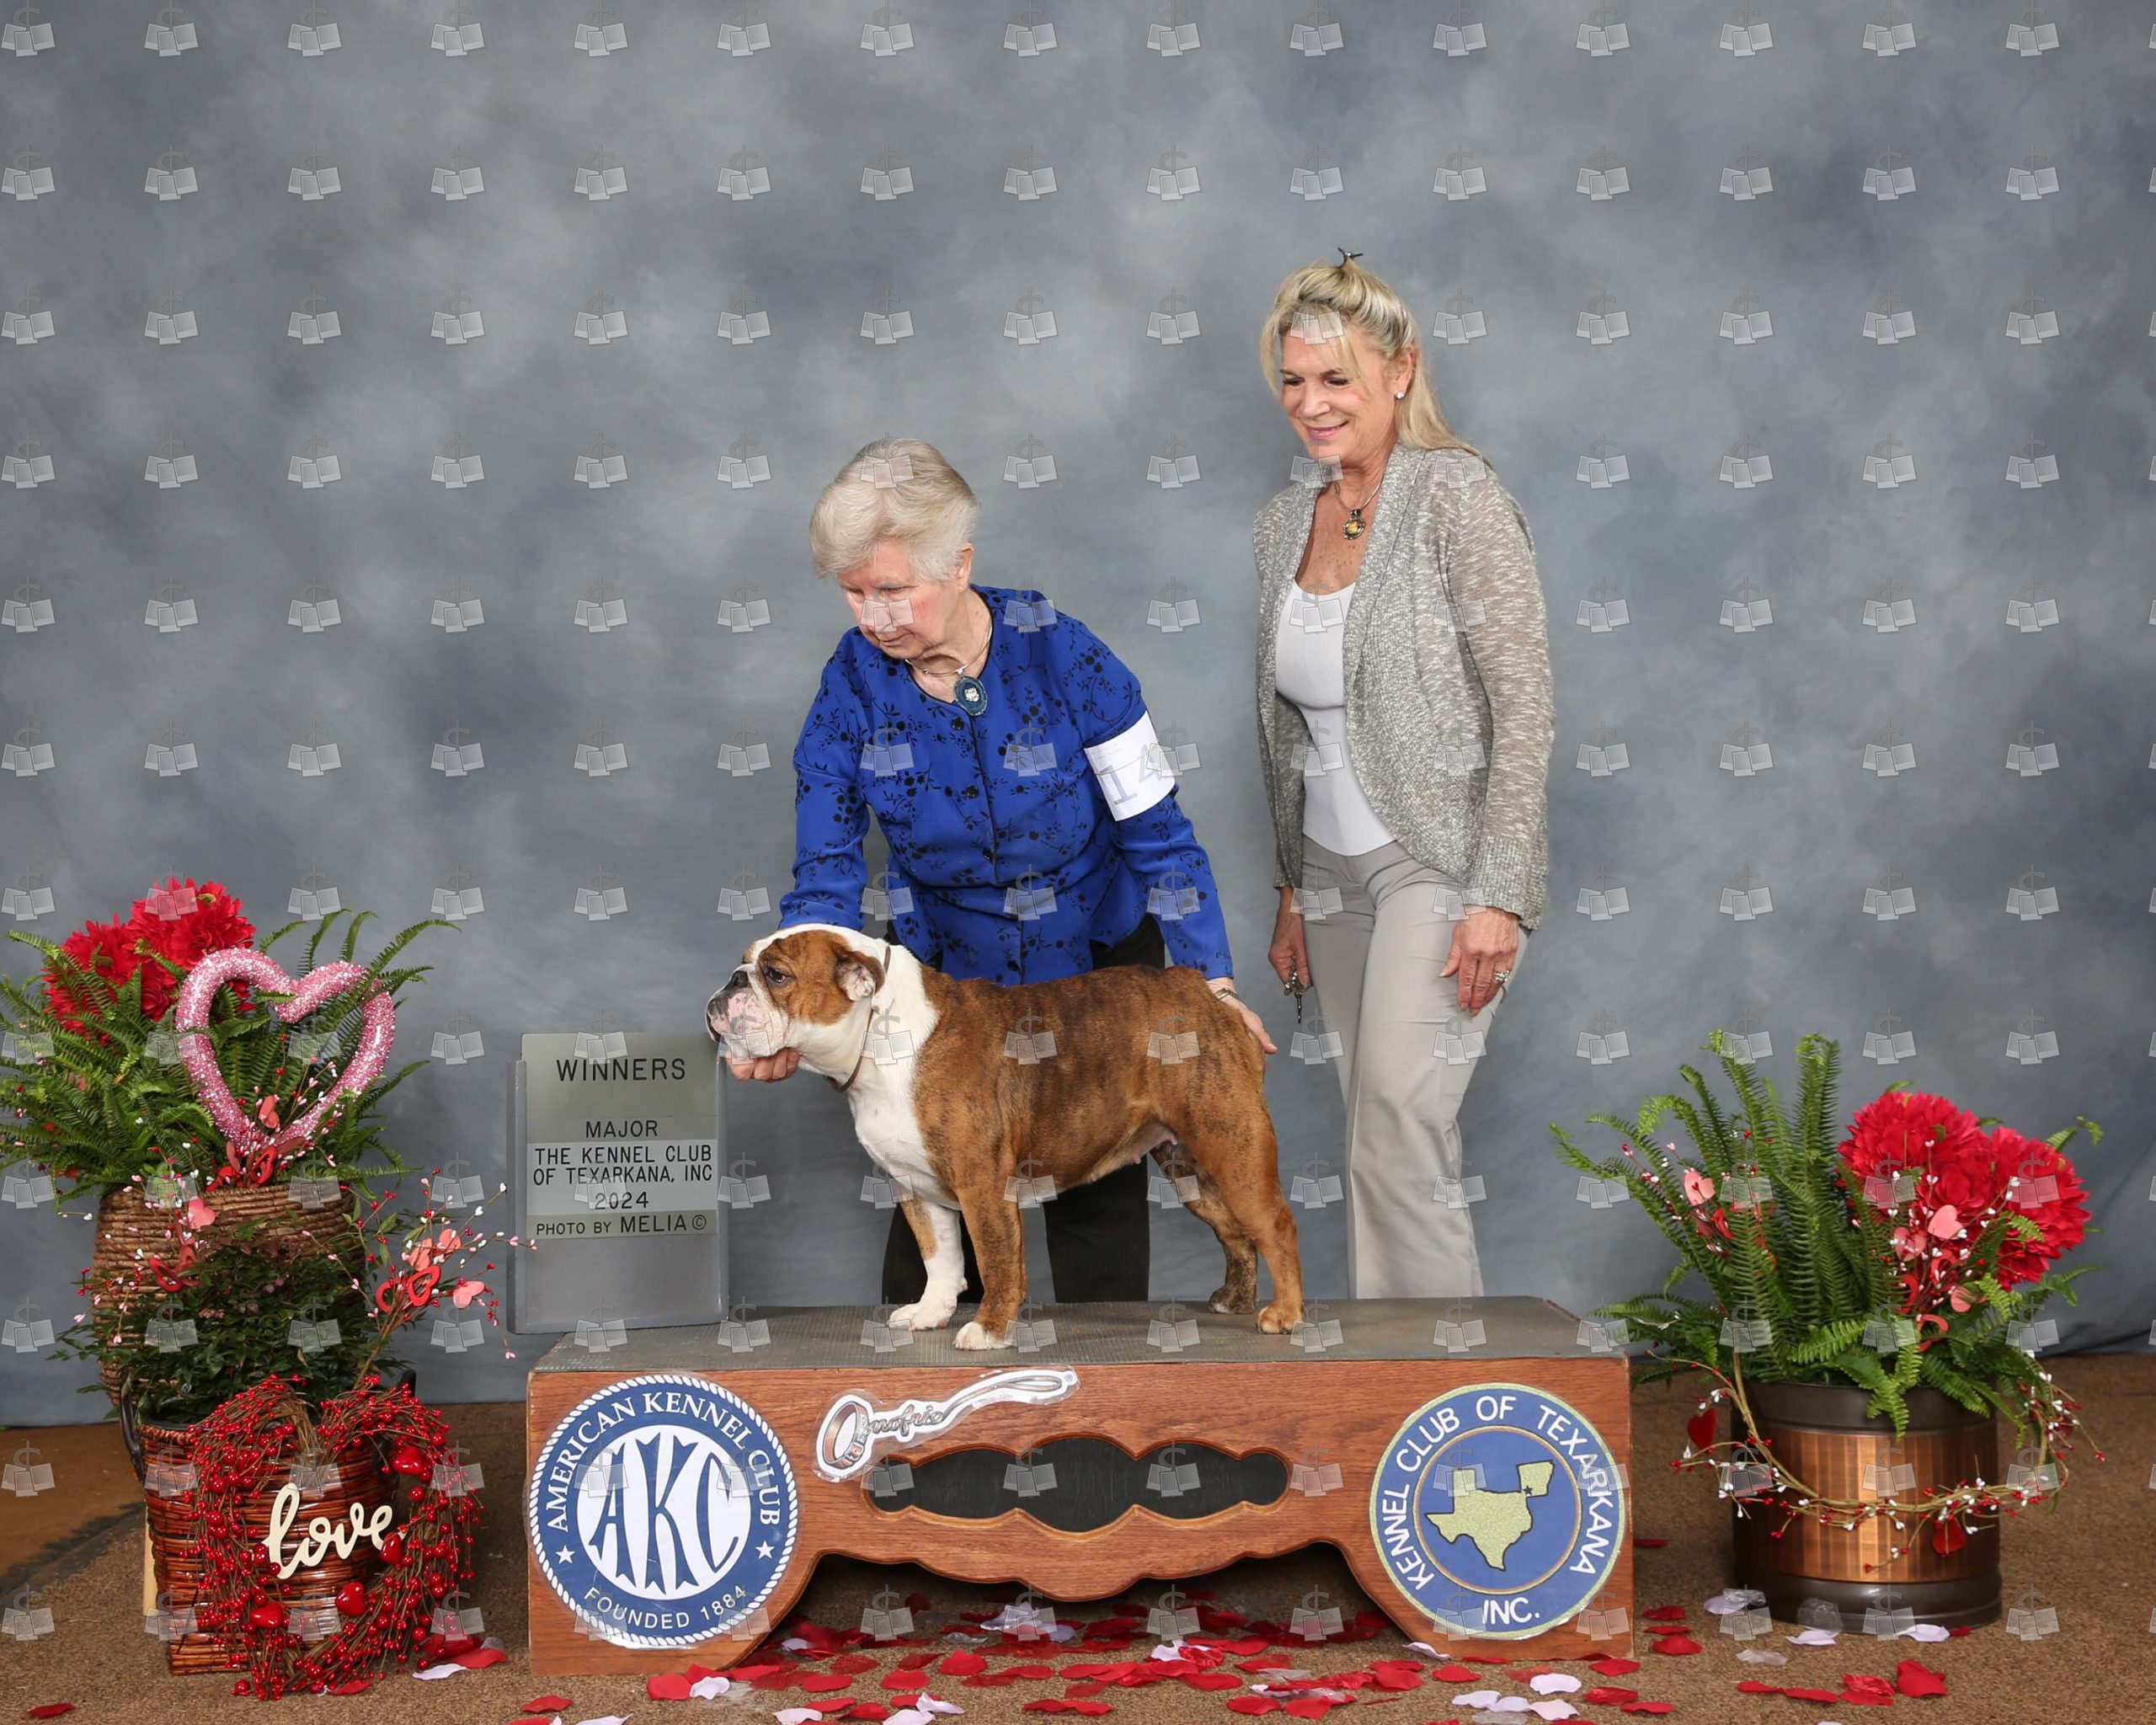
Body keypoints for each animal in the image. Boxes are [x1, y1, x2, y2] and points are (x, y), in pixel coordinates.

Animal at [706, 923, 1304, 1350]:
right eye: (746, 961)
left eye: (776, 975)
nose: (732, 978)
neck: (879, 1036)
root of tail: (1206, 996)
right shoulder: (914, 1186)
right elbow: (940, 1257)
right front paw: (931, 1312)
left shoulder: (982, 1184)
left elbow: (995, 1258)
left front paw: (990, 1329)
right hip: (1189, 1168)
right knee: (1235, 1232)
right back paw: (1234, 1298)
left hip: (1233, 1146)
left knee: (1274, 1226)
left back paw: (1285, 1314)